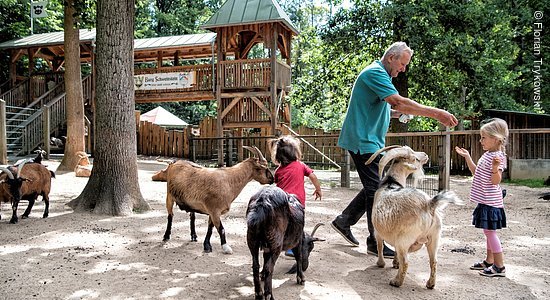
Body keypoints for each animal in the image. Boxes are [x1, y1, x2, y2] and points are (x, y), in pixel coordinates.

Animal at [368, 145, 464, 288]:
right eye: (415, 158)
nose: (425, 154)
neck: (390, 184)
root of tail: (428, 204)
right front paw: (395, 264)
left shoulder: (378, 231)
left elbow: (380, 246)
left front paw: (381, 263)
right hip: (434, 238)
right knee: (433, 261)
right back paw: (430, 284)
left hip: (404, 239)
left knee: (406, 262)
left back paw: (396, 282)